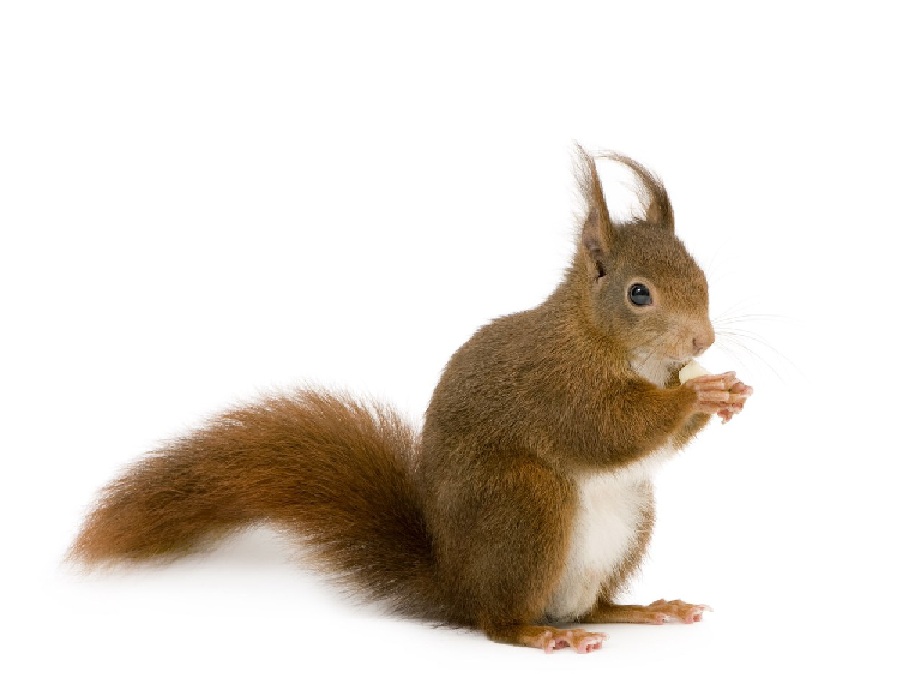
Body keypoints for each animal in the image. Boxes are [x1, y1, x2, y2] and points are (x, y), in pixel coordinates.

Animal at [69, 147, 753, 654]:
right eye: (639, 293)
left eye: (700, 274)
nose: (703, 341)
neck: (601, 337)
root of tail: (456, 583)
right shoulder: (557, 385)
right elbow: (607, 429)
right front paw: (698, 391)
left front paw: (727, 392)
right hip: (524, 503)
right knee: (498, 621)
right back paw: (536, 632)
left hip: (628, 520)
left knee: (591, 606)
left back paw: (640, 609)